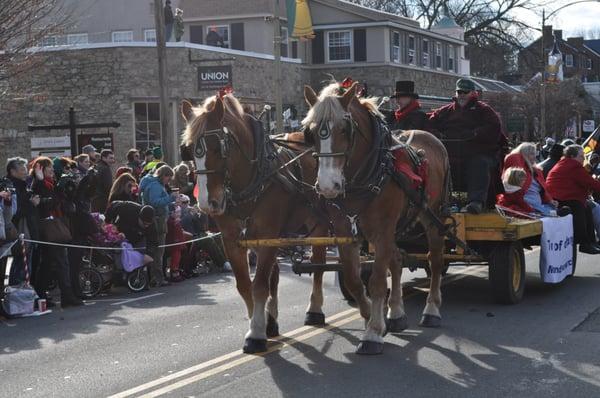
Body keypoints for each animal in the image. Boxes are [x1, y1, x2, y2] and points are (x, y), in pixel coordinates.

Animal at [180, 94, 372, 354]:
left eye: (219, 147)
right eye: (189, 149)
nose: (207, 203)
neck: (253, 180)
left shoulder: (268, 234)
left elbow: (259, 285)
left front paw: (256, 332)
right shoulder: (232, 240)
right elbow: (245, 285)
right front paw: (261, 323)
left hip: (320, 223)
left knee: (318, 265)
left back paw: (314, 310)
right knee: (279, 273)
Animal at [304, 82, 450, 356]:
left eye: (345, 129)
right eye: (311, 131)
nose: (328, 186)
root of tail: (433, 139)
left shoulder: (382, 232)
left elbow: (377, 281)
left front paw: (372, 333)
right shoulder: (346, 232)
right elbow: (354, 281)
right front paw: (373, 319)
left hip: (431, 215)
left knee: (435, 261)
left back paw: (432, 310)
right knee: (397, 260)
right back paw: (396, 314)